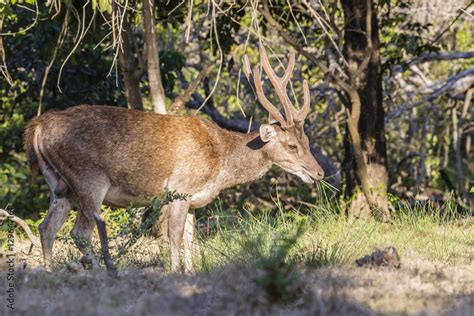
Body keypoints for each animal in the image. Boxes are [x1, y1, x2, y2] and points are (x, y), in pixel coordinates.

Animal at [24, 47, 324, 274]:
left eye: (308, 141)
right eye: (292, 145)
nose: (319, 173)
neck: (220, 161)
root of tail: (37, 127)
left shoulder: (193, 199)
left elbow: (191, 238)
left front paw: (190, 272)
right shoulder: (179, 188)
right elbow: (175, 235)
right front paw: (174, 271)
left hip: (61, 185)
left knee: (46, 227)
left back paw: (49, 273)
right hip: (88, 178)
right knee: (80, 232)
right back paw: (101, 270)